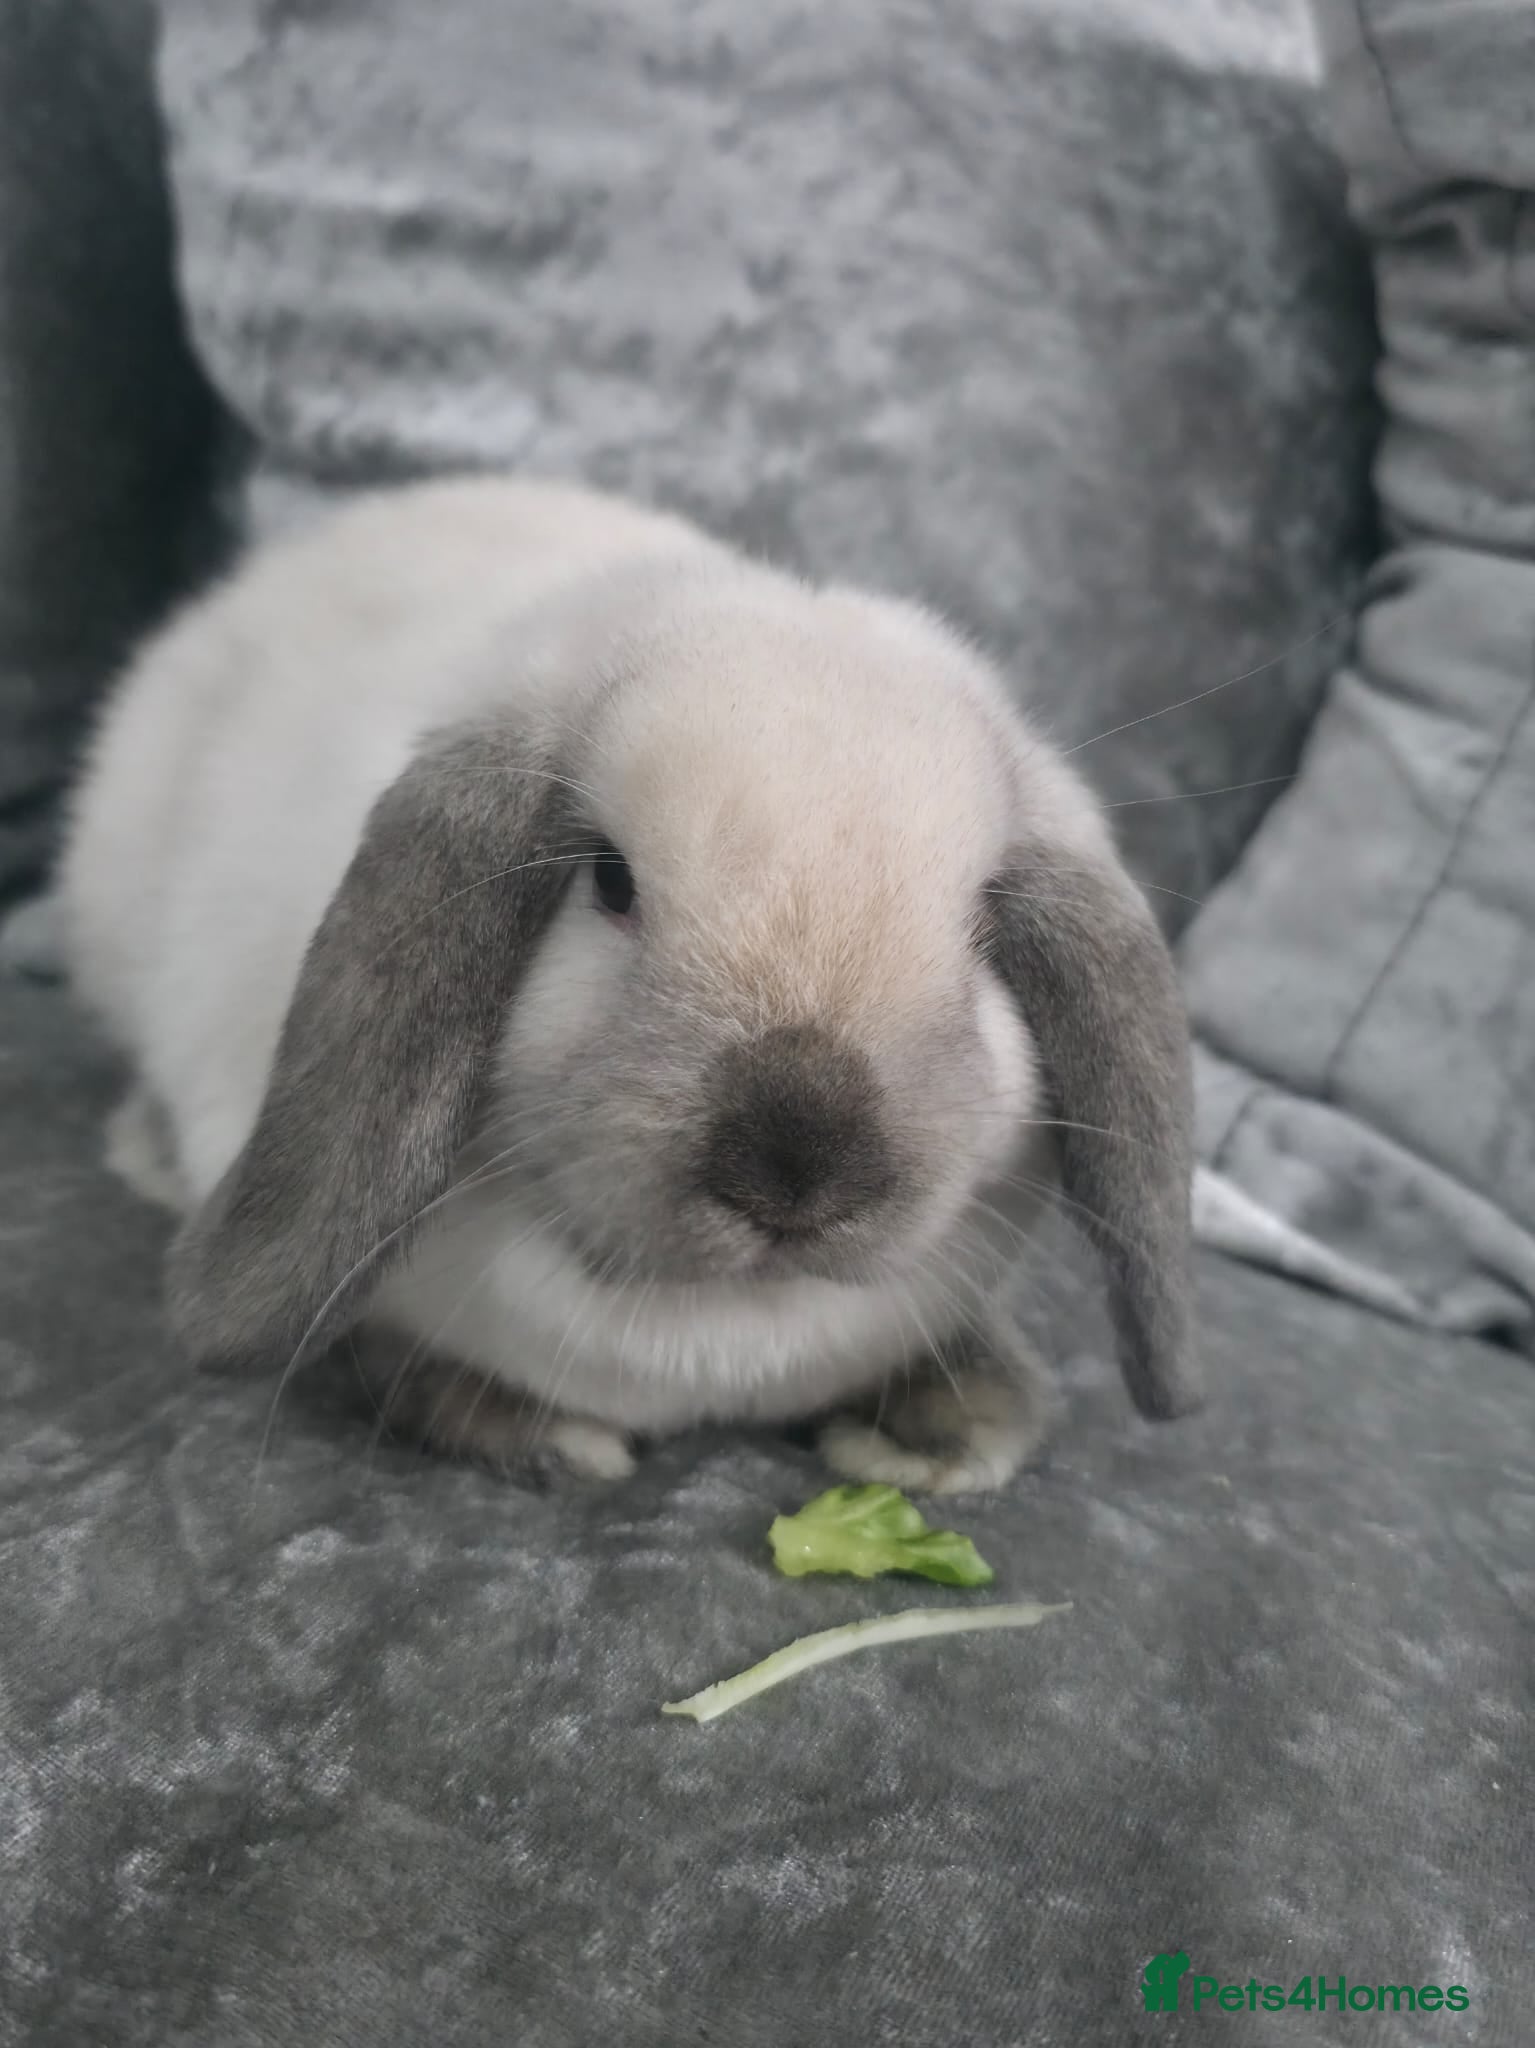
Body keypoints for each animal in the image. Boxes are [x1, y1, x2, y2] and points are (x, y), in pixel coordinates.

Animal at [58, 475, 1201, 1490]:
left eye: (980, 929)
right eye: (609, 880)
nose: (798, 1169)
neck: (716, 1335)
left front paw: (953, 1431)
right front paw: (539, 1434)